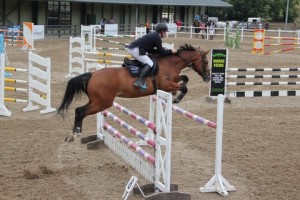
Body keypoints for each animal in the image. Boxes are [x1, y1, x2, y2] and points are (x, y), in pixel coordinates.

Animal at [56, 43, 211, 141]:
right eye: (206, 62)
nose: (208, 77)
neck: (170, 63)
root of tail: (93, 75)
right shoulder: (166, 85)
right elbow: (183, 87)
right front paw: (176, 98)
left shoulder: (173, 80)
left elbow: (185, 78)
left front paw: (176, 94)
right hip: (102, 103)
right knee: (80, 111)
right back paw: (75, 134)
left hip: (95, 101)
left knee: (78, 110)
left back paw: (74, 134)